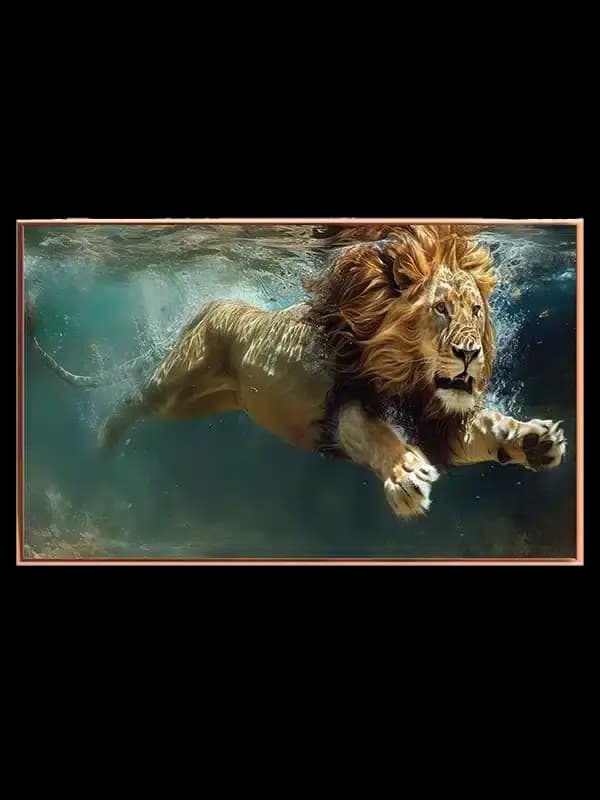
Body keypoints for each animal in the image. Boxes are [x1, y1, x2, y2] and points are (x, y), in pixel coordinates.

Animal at [27, 224, 567, 519]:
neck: (404, 368)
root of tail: (210, 306)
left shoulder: (438, 418)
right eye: (440, 310)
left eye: (475, 310)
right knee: (133, 400)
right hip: (176, 384)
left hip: (203, 403)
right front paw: (405, 473)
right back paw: (102, 443)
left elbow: (484, 428)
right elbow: (375, 433)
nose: (471, 353)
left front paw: (533, 438)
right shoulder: (341, 404)